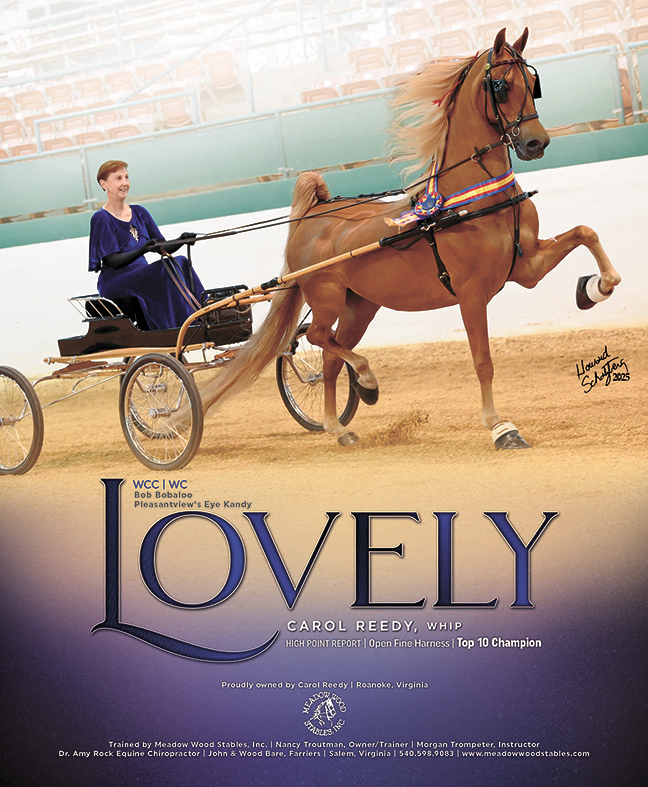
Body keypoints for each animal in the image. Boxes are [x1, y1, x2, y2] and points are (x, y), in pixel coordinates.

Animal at [200, 28, 621, 449]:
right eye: (501, 86)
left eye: (533, 85)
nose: (536, 143)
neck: (475, 199)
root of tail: (315, 212)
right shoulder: (471, 294)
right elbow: (482, 361)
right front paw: (500, 427)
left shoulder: (526, 267)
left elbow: (586, 232)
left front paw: (596, 288)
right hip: (326, 297)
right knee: (321, 338)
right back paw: (366, 382)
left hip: (359, 306)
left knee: (332, 357)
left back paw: (340, 426)